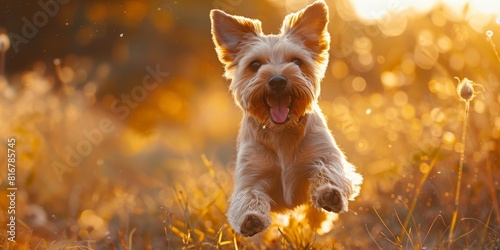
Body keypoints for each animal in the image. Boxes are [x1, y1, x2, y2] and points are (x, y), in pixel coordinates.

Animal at [211, 0, 364, 235]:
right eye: (255, 65)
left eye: (297, 62)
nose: (277, 81)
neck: (281, 132)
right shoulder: (251, 176)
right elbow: (248, 196)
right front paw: (251, 218)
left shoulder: (325, 155)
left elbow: (328, 169)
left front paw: (329, 193)